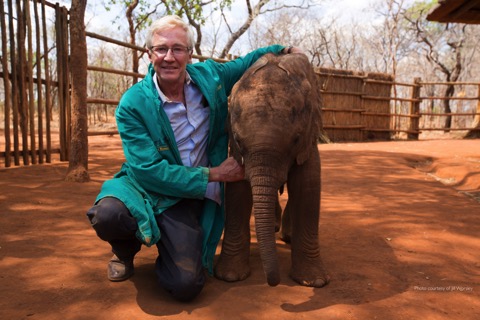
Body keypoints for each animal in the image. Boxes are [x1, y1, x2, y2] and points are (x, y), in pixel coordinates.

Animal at [215, 52, 330, 288]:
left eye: (296, 139)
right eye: (238, 140)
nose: (274, 283)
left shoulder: (309, 137)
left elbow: (307, 188)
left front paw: (313, 282)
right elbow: (237, 191)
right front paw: (230, 277)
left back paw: (287, 236)